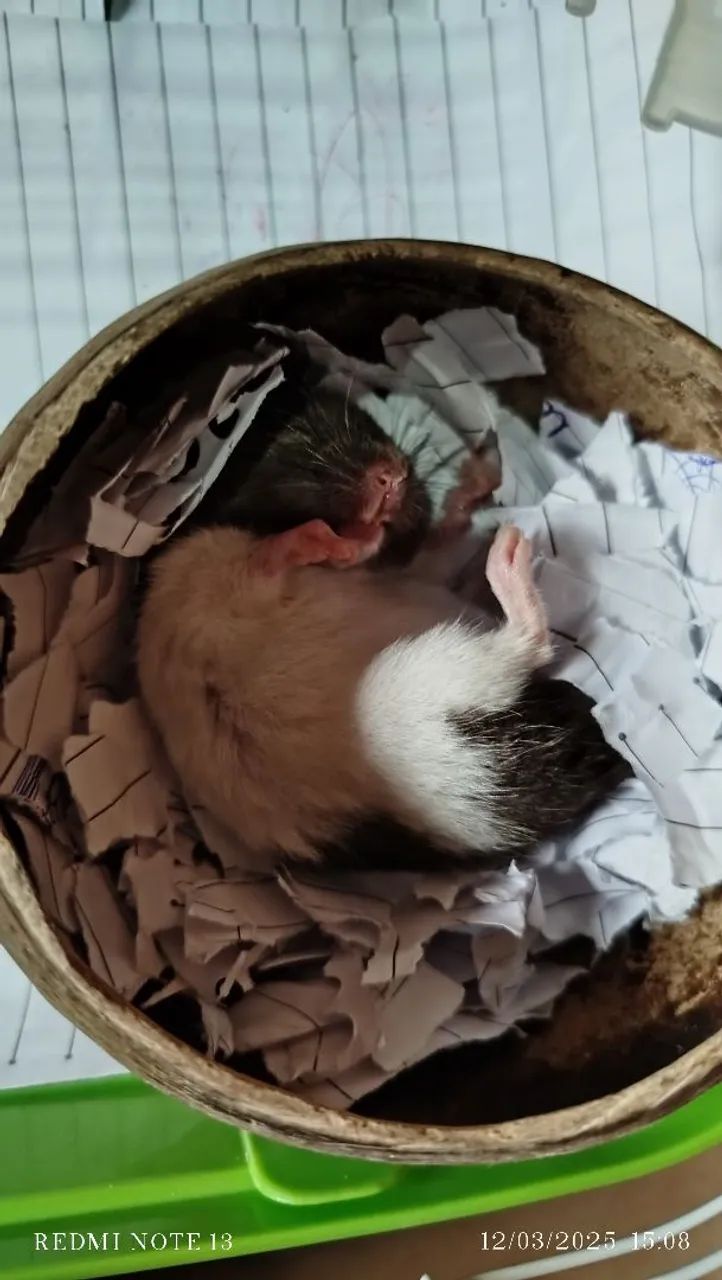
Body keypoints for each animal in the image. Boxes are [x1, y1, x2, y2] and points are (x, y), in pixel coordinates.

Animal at [136, 390, 629, 869]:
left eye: (367, 422)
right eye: (288, 433)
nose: (391, 476)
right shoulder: (227, 578)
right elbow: (280, 553)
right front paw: (334, 540)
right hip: (418, 678)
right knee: (526, 646)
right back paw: (504, 557)